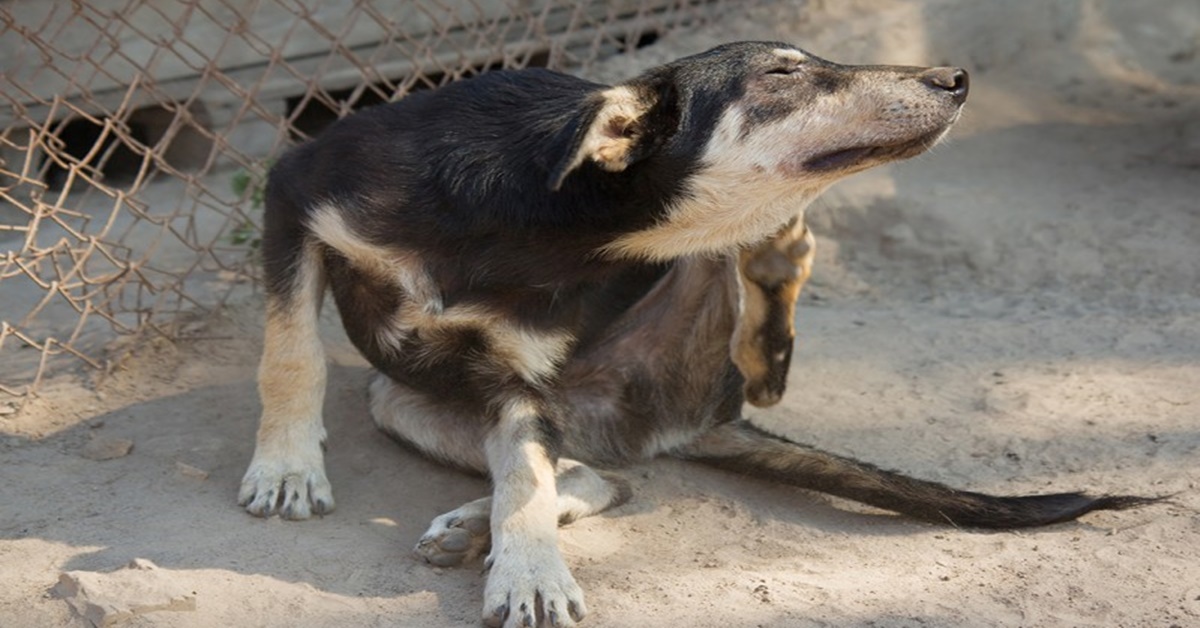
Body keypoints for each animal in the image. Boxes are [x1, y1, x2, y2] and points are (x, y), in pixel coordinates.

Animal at [241, 42, 1152, 628]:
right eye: (783, 73)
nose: (957, 76)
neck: (551, 215)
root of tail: (708, 415)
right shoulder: (293, 191)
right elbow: (291, 355)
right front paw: (286, 469)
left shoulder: (522, 381)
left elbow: (528, 479)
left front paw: (530, 569)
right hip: (396, 393)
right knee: (600, 470)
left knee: (611, 471)